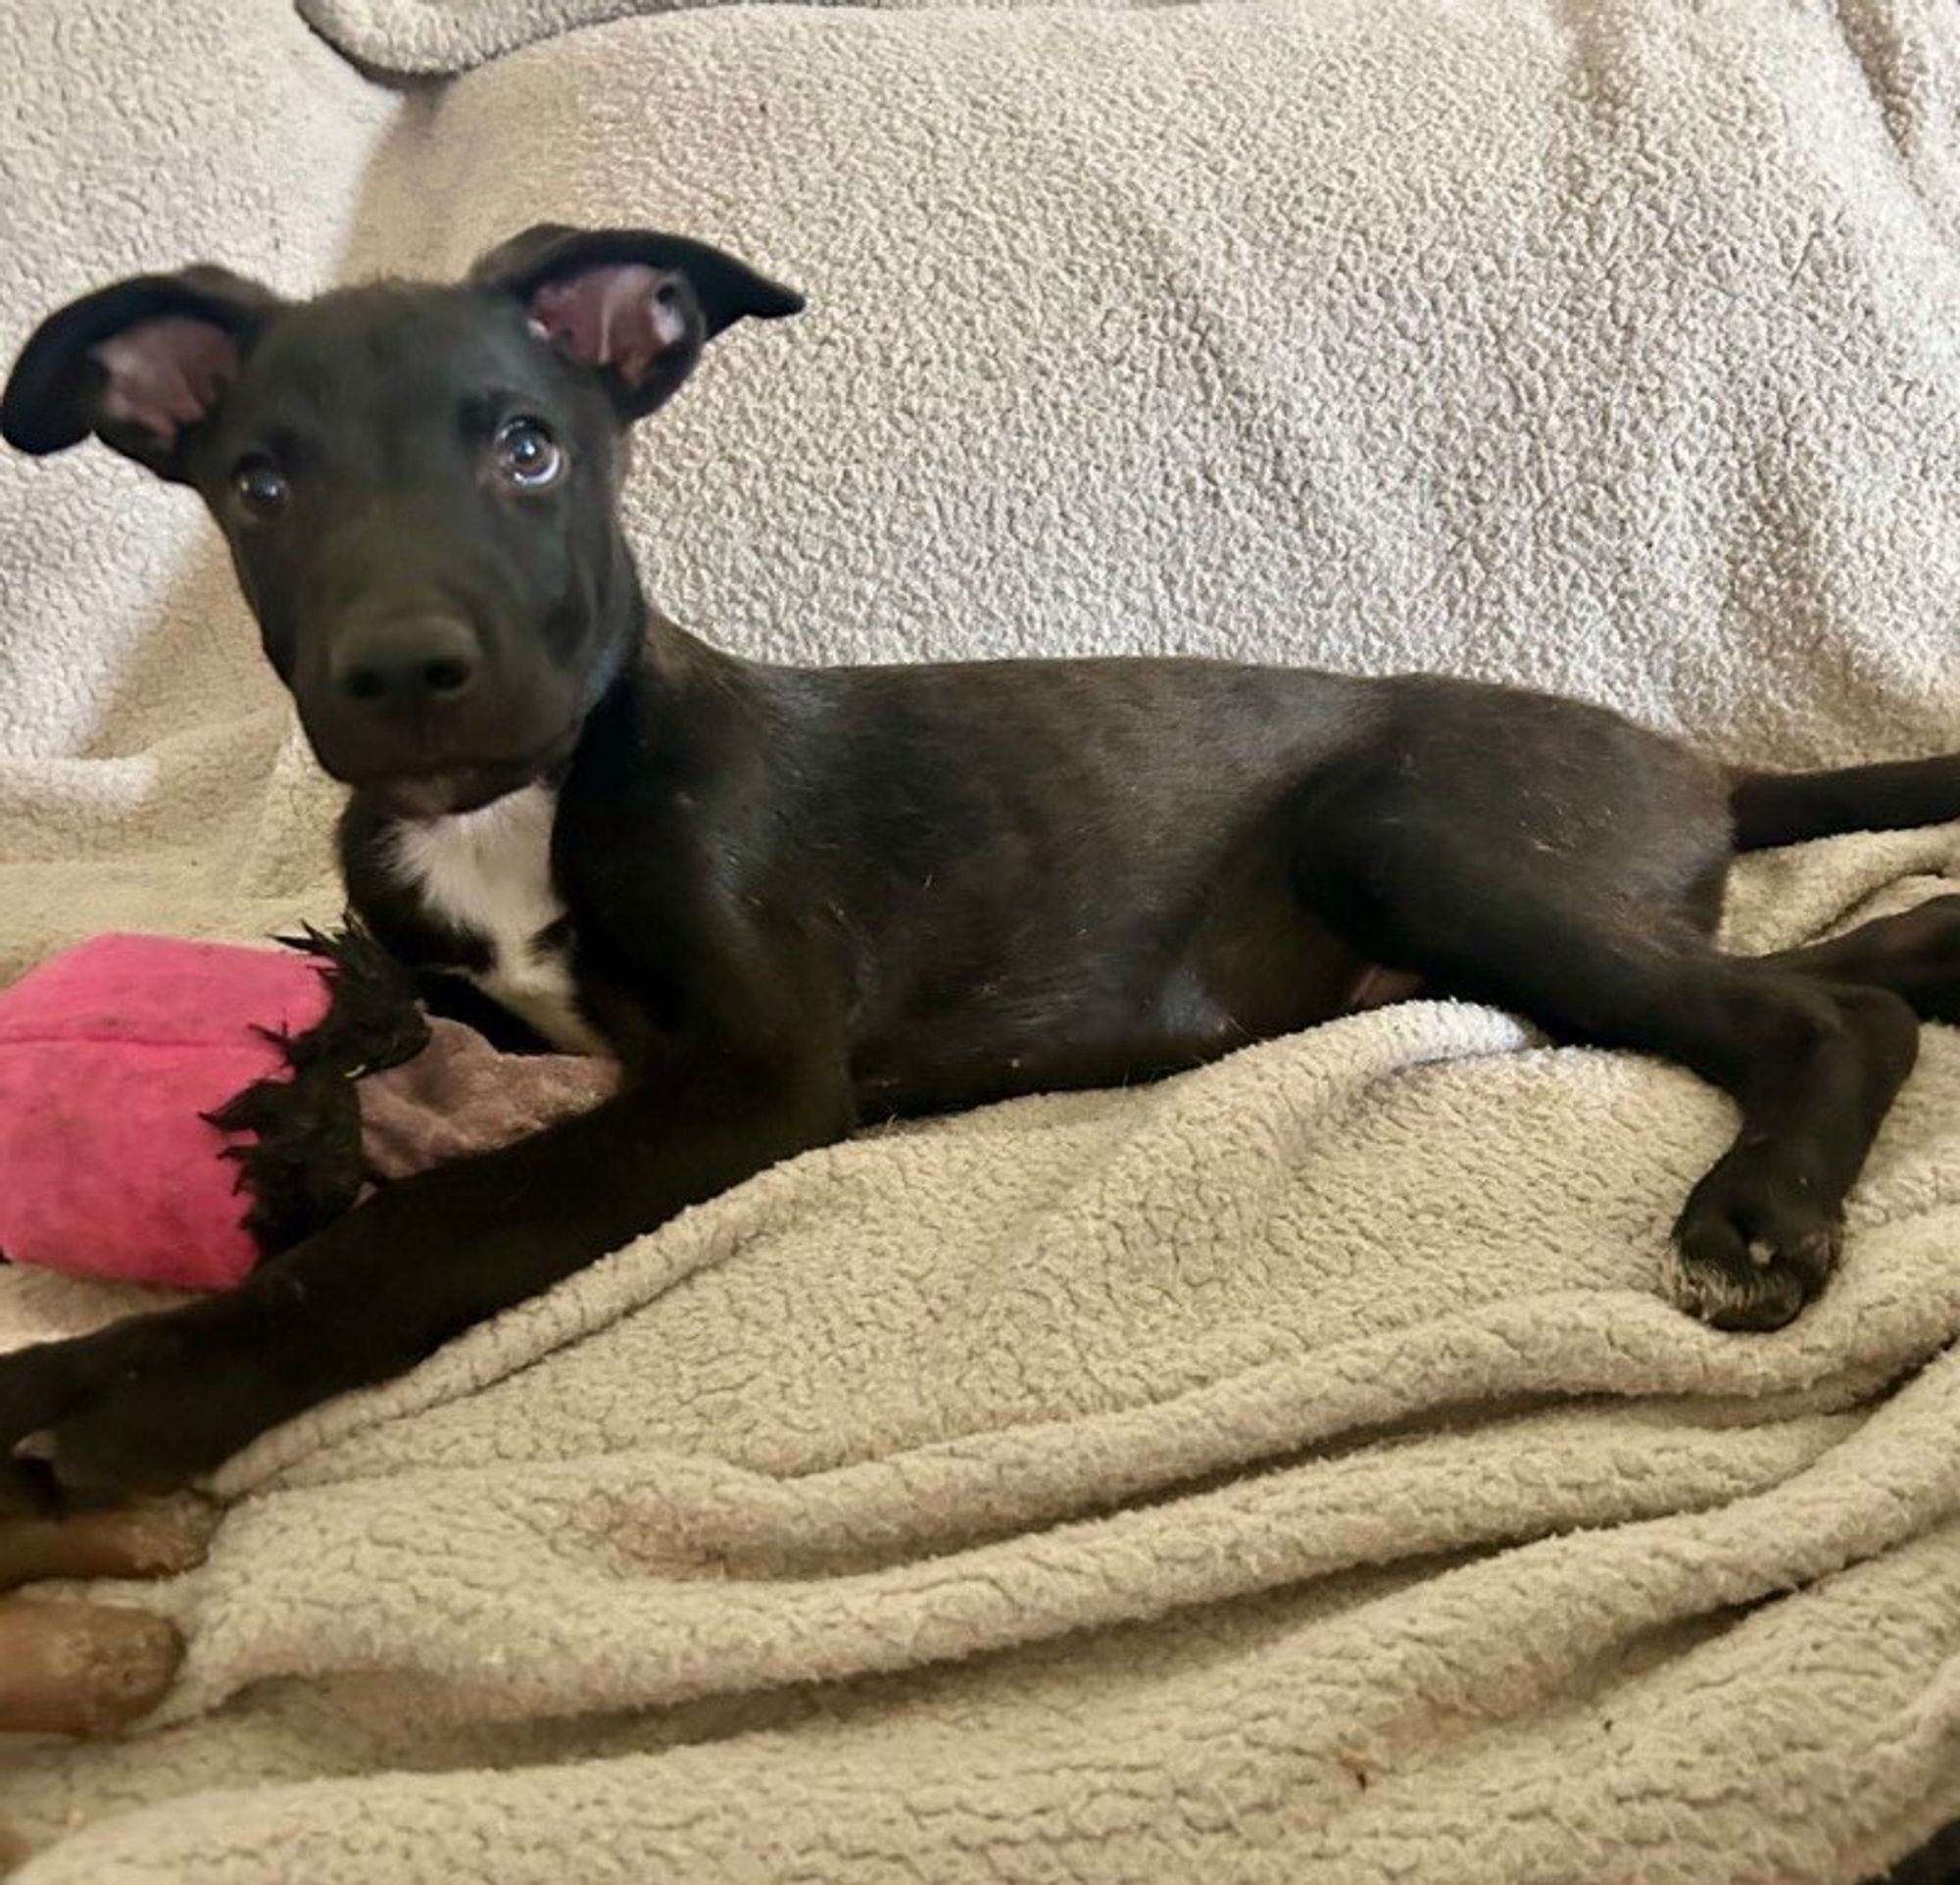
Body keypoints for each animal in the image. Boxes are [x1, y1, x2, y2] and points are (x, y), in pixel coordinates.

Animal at [3, 220, 1960, 1489]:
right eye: (260, 485)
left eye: (529, 450)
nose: (406, 674)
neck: (516, 802)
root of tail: (1698, 760)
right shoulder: (474, 1008)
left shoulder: (751, 1075)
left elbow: (426, 1219)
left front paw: (128, 1397)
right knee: (1825, 968)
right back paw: (1921, 949)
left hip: (1410, 833)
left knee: (1821, 1016)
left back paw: (1758, 1214)